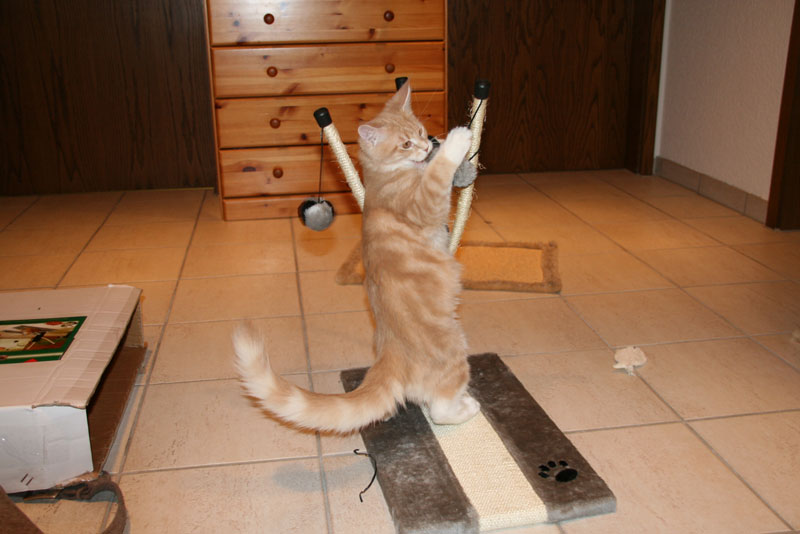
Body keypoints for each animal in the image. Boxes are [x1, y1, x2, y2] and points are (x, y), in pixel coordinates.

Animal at [233, 81, 480, 434]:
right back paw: (466, 408)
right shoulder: (424, 202)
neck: (384, 177)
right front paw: (456, 141)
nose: (423, 145)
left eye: (419, 131)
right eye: (405, 144)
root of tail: (389, 353)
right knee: (440, 409)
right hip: (455, 352)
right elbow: (438, 172)